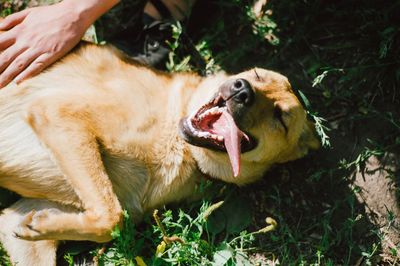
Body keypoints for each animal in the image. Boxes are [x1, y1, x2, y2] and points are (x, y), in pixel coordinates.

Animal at [0, 42, 318, 264]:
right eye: (255, 74)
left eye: (280, 117)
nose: (242, 90)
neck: (182, 149)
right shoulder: (57, 113)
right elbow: (112, 215)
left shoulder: (16, 221)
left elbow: (110, 219)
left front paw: (41, 226)